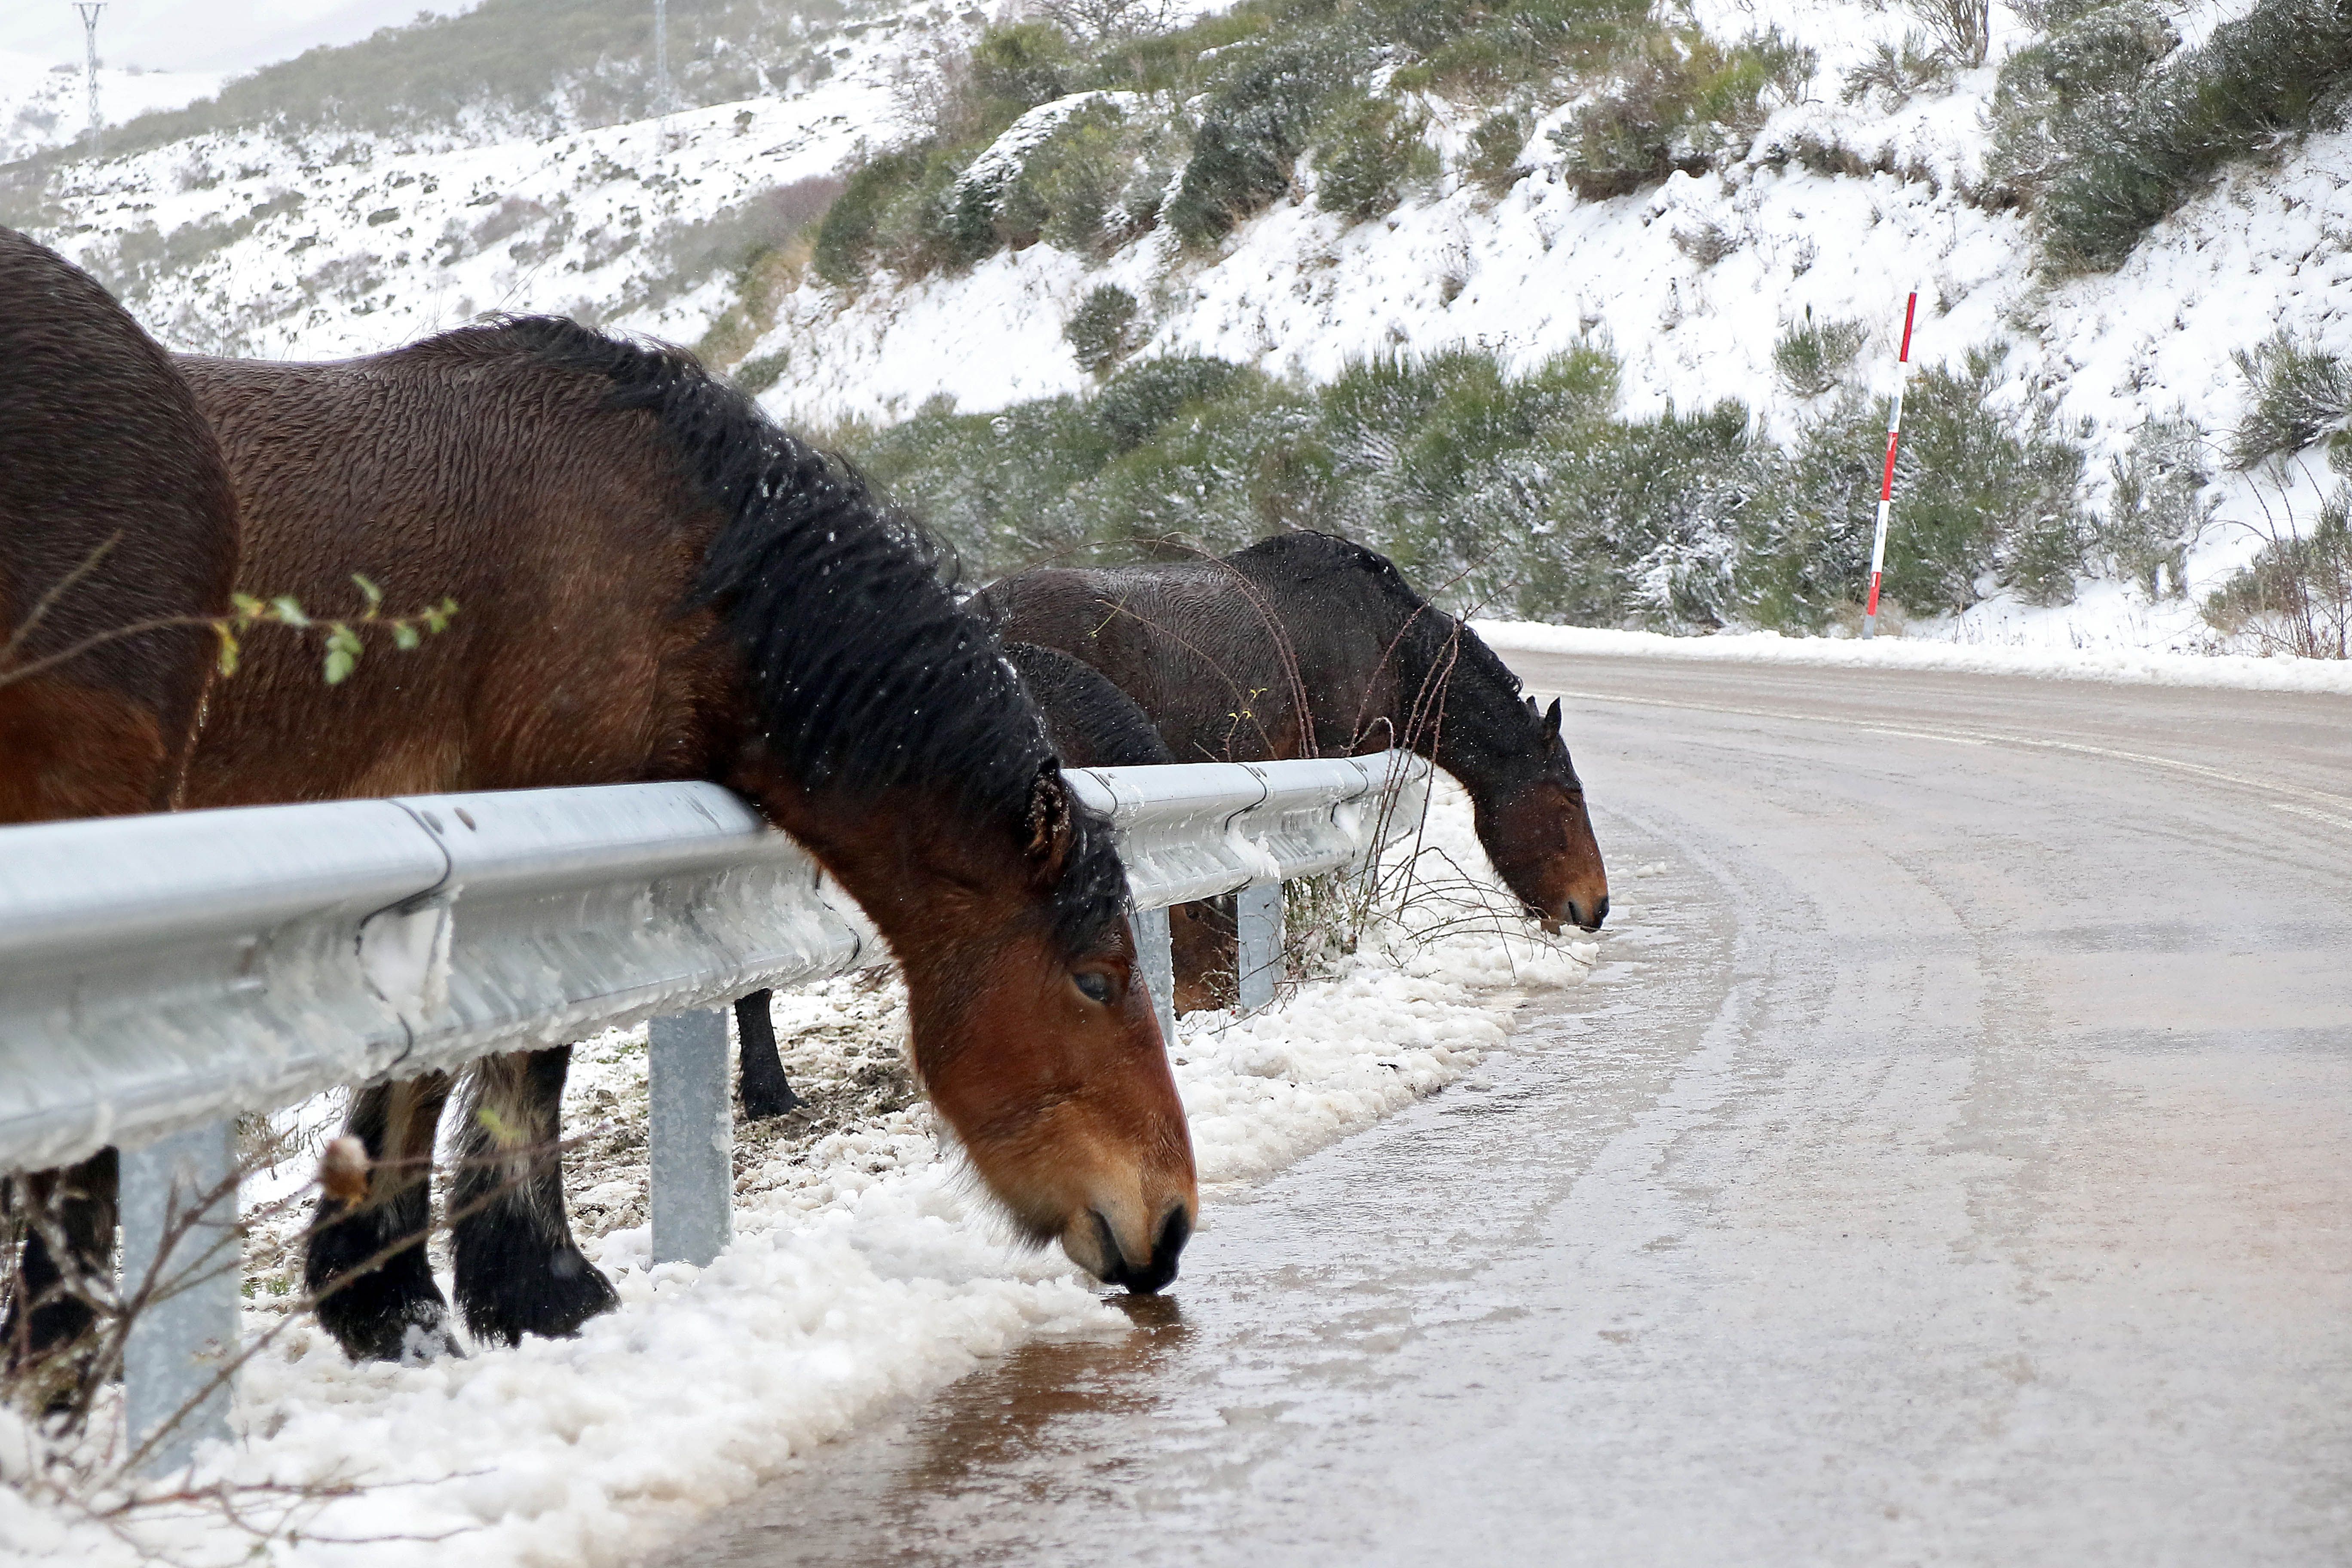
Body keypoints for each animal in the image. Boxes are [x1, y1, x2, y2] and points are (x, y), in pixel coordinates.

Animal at [170, 319, 1194, 1363]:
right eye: (1096, 980)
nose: (1172, 1225)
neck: (677, 566)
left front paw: (396, 1292)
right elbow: (513, 1055)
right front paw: (511, 1294)